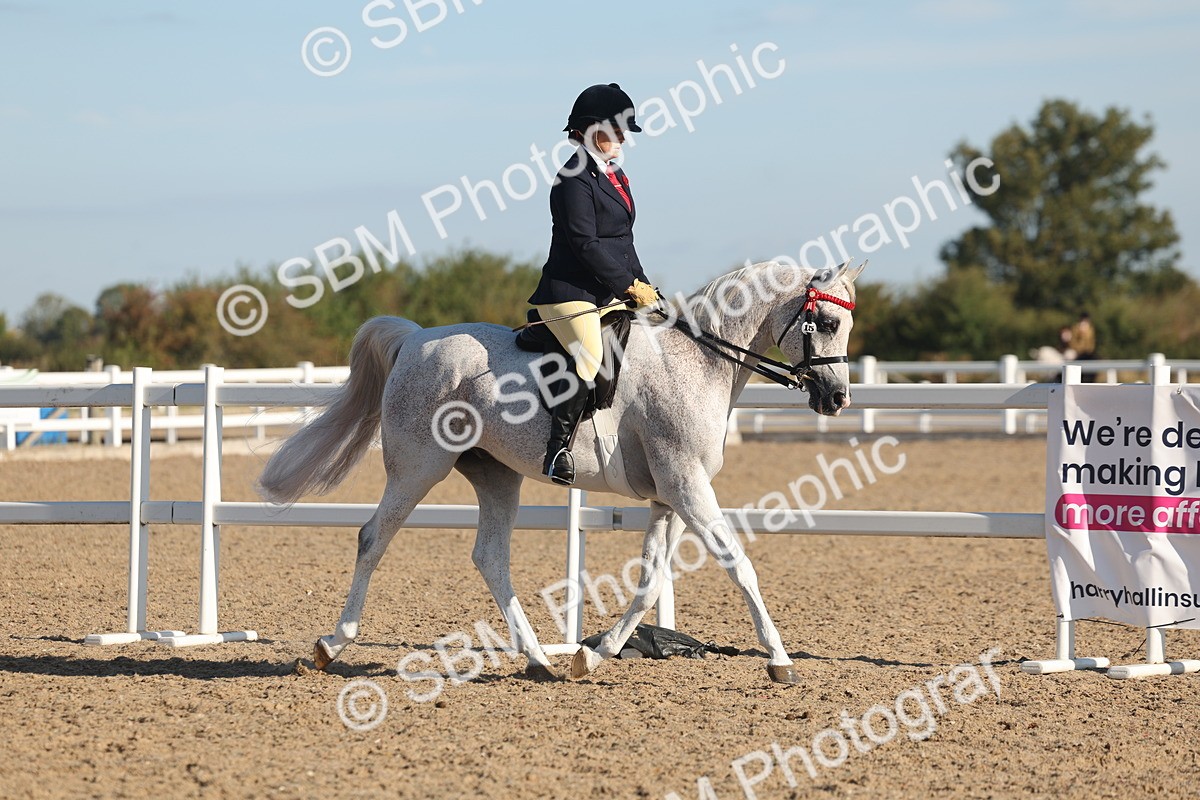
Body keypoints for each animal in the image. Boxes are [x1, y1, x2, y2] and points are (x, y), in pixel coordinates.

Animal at [258, 258, 865, 684]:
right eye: (825, 321)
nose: (837, 399)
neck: (697, 362)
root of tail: (414, 338)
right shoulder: (687, 485)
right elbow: (739, 565)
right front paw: (781, 662)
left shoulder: (670, 496)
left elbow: (649, 583)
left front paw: (593, 656)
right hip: (417, 467)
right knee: (373, 538)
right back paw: (331, 644)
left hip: (497, 476)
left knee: (489, 557)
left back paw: (538, 660)